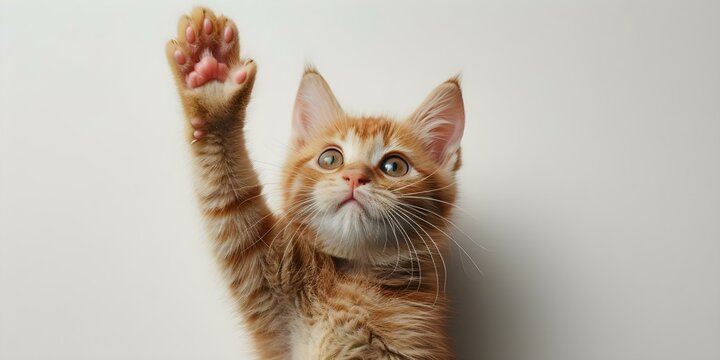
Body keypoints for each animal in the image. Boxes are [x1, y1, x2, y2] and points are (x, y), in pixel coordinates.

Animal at [166, 7, 464, 358]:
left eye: (394, 166)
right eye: (330, 159)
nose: (355, 176)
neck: (354, 282)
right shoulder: (263, 280)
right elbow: (231, 204)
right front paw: (212, 81)